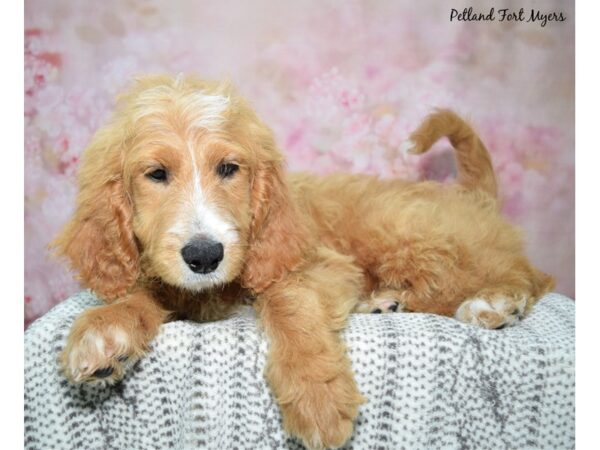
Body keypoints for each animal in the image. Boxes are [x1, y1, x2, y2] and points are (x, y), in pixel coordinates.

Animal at [54, 74, 556, 450]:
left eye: (228, 169)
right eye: (156, 174)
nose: (204, 255)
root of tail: (468, 194)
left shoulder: (325, 264)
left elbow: (287, 299)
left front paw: (317, 394)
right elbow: (142, 294)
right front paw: (105, 331)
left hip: (410, 237)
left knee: (524, 275)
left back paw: (496, 302)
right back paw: (383, 302)